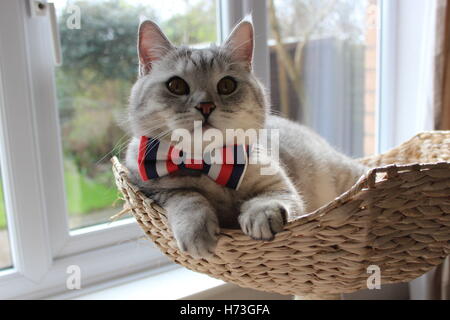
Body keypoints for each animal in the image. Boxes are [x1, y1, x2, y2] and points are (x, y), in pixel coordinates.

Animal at [124, 17, 370, 258]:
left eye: (227, 85)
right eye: (176, 85)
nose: (205, 106)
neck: (208, 161)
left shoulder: (280, 185)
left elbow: (270, 198)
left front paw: (260, 215)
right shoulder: (150, 188)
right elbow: (186, 195)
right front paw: (195, 228)